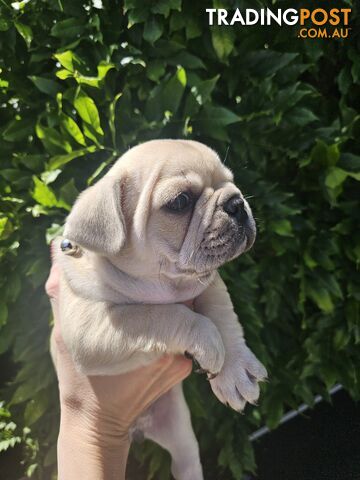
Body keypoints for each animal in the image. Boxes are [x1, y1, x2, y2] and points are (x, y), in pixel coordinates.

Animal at [53, 140, 268, 480]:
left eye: (231, 181)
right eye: (180, 202)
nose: (236, 202)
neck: (165, 282)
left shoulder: (208, 284)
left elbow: (222, 315)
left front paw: (234, 369)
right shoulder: (91, 330)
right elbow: (159, 315)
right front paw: (208, 341)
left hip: (180, 432)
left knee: (186, 461)